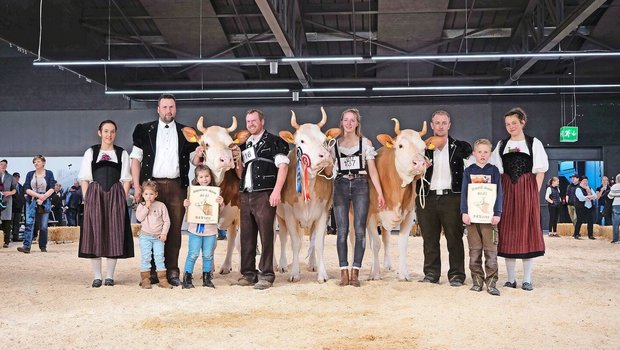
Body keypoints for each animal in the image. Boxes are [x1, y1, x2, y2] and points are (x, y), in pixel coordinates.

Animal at [180, 116, 248, 274]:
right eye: (205, 144)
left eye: (231, 144)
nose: (226, 159)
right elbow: (212, 243)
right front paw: (209, 270)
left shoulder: (242, 211)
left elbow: (241, 242)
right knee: (231, 238)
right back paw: (226, 266)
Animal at [278, 108, 342, 284]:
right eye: (301, 141)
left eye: (324, 140)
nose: (324, 155)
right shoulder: (289, 215)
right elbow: (294, 243)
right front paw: (294, 273)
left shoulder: (323, 213)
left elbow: (318, 243)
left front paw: (322, 274)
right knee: (281, 238)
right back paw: (281, 265)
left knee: (312, 240)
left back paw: (312, 264)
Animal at [366, 119, 428, 280]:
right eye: (400, 145)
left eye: (424, 148)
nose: (420, 163)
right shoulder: (370, 216)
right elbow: (375, 244)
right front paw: (374, 273)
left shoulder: (409, 214)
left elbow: (402, 244)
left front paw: (404, 274)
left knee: (386, 237)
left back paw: (387, 264)